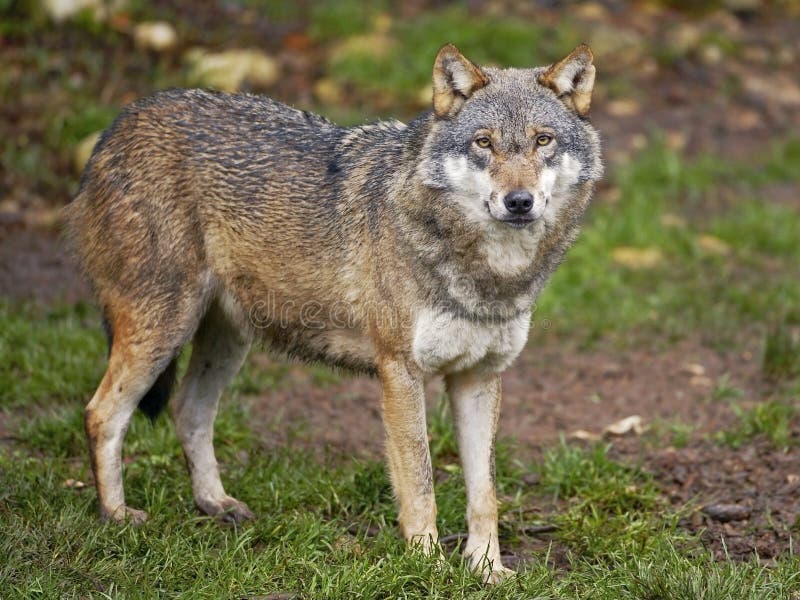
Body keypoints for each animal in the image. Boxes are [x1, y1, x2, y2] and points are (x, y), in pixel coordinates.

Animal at [62, 43, 600, 584]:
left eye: (543, 140)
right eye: (484, 143)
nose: (519, 202)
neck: (489, 273)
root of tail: (115, 128)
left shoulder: (479, 376)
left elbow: (484, 494)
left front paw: (488, 568)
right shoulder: (400, 372)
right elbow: (420, 484)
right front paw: (426, 567)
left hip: (227, 340)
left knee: (188, 410)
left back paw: (215, 503)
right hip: (164, 330)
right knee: (101, 414)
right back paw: (116, 516)